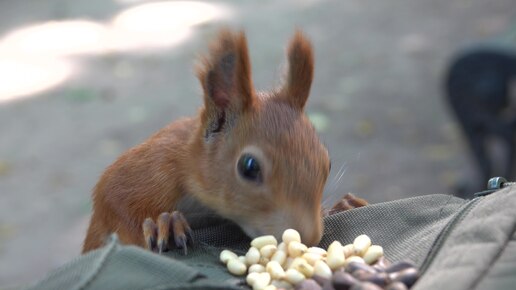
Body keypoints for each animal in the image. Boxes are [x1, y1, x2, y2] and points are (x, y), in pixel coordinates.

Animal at [82, 28, 366, 254]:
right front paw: (166, 224)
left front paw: (341, 206)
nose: (308, 238)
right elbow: (113, 201)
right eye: (249, 167)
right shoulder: (149, 169)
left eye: (327, 163)